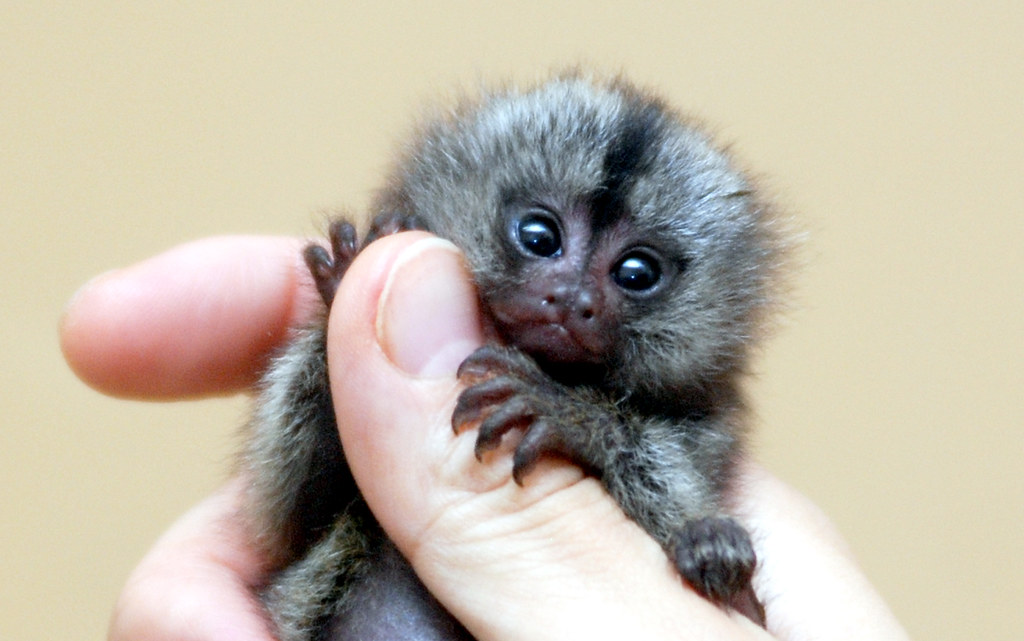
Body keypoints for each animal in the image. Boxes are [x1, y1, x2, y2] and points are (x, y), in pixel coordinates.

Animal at [243, 72, 786, 634]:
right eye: (539, 237)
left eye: (636, 273)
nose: (570, 298)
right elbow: (294, 519)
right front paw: (347, 283)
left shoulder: (709, 424)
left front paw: (573, 416)